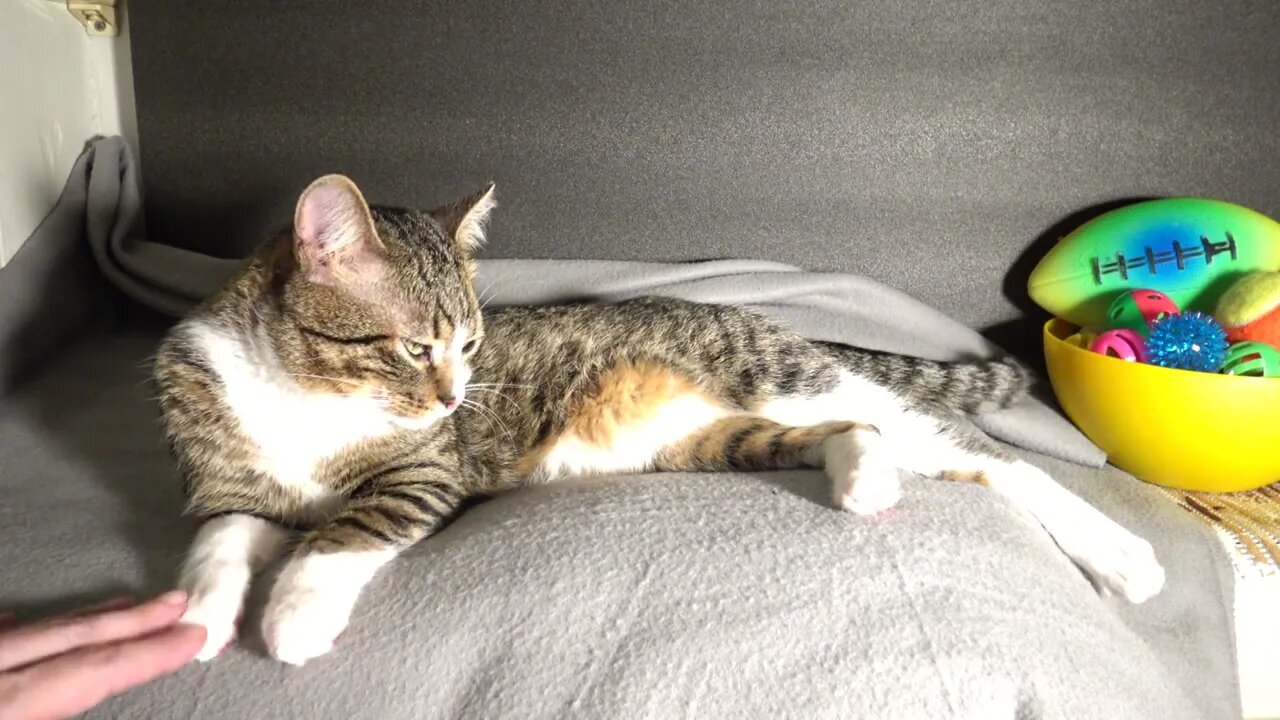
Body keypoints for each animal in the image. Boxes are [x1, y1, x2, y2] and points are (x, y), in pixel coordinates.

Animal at [154, 172, 1167, 661]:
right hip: (696, 436)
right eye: (412, 347)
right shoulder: (225, 475)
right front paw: (193, 615)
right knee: (861, 438)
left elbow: (350, 526)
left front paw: (294, 612)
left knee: (981, 454)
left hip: (781, 377)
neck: (304, 396)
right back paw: (864, 483)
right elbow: (218, 535)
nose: (452, 398)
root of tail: (761, 317)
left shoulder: (424, 468)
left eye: (469, 345)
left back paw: (1120, 556)